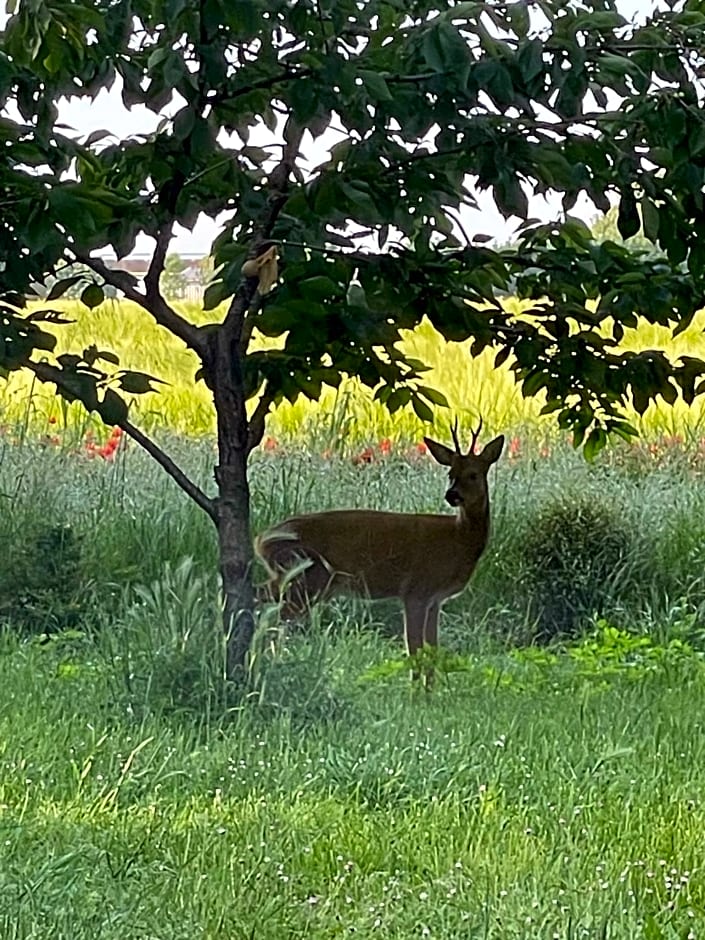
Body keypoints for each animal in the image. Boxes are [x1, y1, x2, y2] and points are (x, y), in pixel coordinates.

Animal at [256, 422, 504, 680]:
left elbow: (431, 652)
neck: (458, 539)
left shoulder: (435, 599)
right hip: (308, 577)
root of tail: (261, 540)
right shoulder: (416, 590)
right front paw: (415, 690)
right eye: (450, 474)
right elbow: (415, 652)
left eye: (473, 474)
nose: (451, 494)